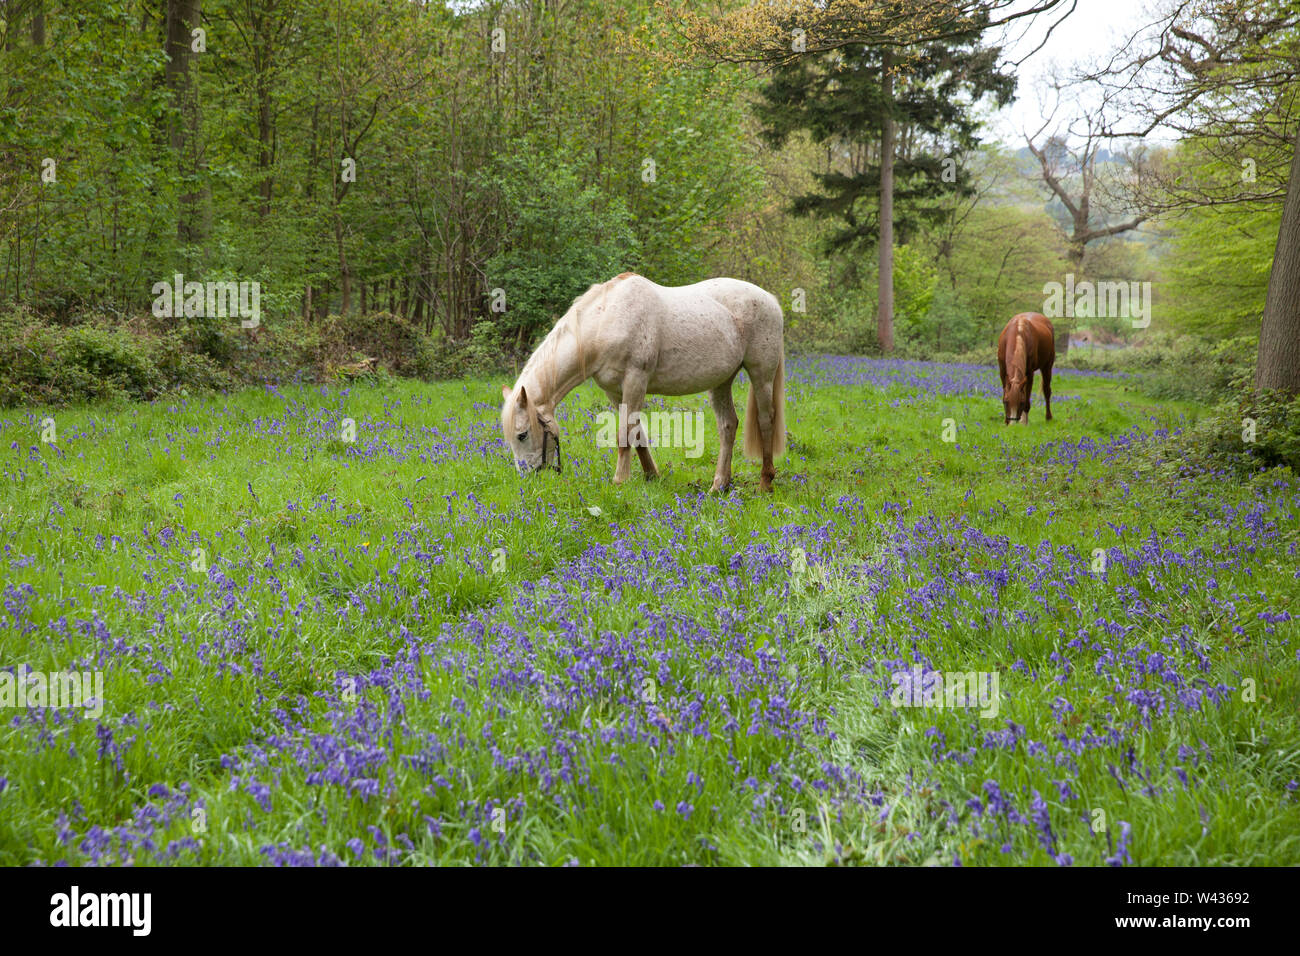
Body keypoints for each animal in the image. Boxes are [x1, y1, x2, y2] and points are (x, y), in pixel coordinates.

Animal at [499, 272, 786, 492]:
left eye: (522, 434)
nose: (528, 480)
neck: (607, 320)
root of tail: (770, 300)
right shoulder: (615, 392)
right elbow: (638, 434)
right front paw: (652, 476)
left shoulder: (635, 381)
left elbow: (624, 435)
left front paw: (619, 481)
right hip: (721, 381)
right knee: (728, 425)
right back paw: (719, 486)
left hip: (761, 375)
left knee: (765, 422)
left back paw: (765, 484)